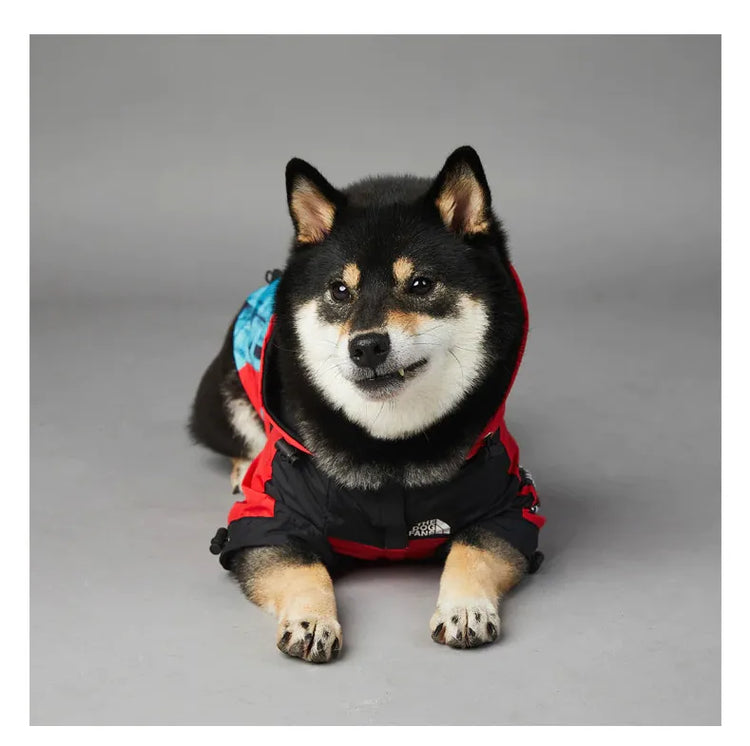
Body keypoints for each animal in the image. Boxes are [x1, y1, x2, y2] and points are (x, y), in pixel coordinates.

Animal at [189, 147, 548, 664]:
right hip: (224, 393)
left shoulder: (509, 506)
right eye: (340, 290)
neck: (390, 450)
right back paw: (243, 465)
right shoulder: (268, 519)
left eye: (421, 284)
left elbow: (474, 551)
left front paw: (464, 609)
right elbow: (304, 569)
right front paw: (312, 620)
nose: (367, 346)